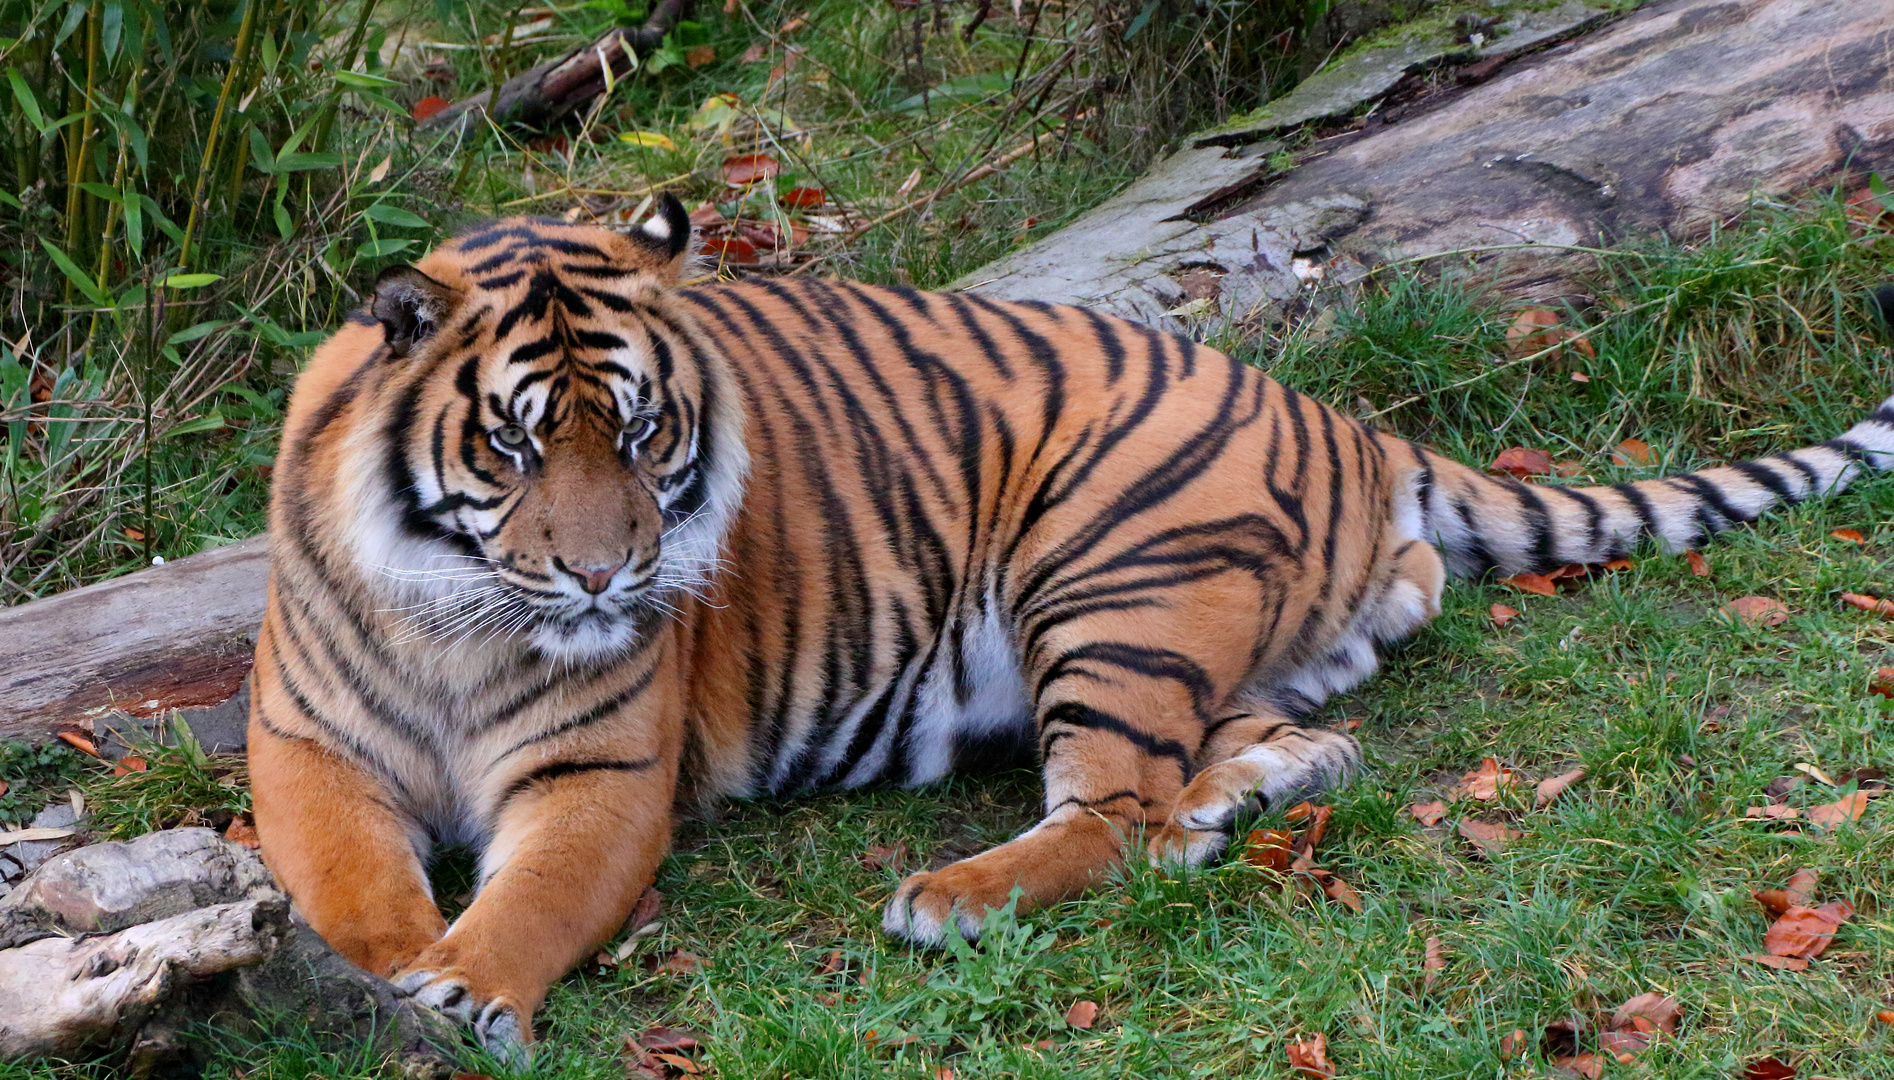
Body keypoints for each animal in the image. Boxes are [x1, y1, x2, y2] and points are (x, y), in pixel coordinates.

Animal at [244, 198, 1894, 1053]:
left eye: (645, 435)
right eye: (518, 448)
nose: (604, 579)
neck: (462, 619)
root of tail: (1340, 419)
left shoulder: (599, 777)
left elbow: (528, 900)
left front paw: (456, 988)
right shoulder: (307, 749)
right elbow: (348, 893)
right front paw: (395, 971)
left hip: (1106, 577)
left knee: (1109, 814)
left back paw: (954, 896)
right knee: (1286, 749)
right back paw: (1239, 798)